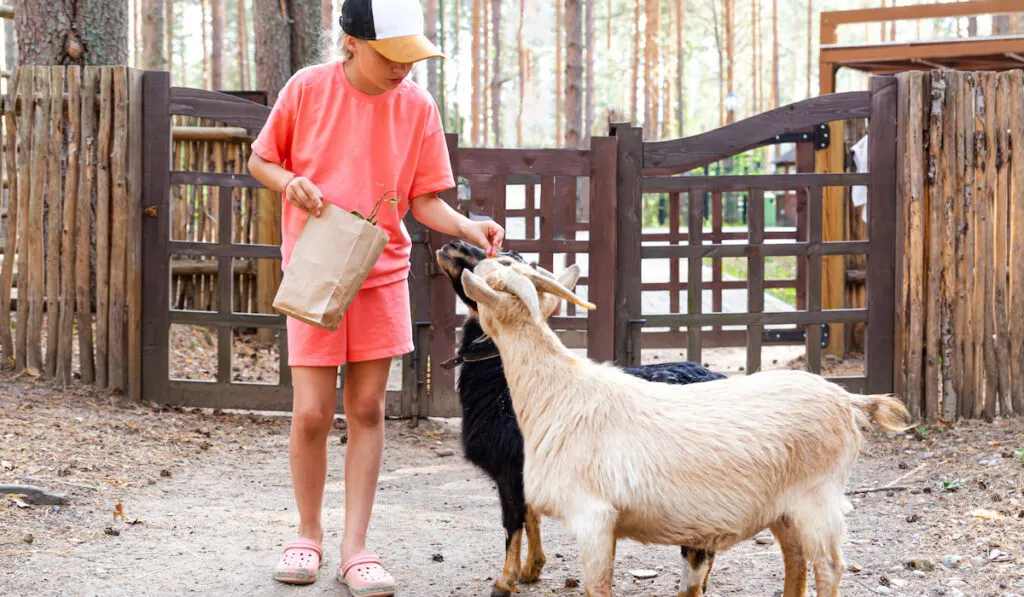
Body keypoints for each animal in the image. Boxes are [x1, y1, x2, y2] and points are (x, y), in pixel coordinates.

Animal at [436, 241, 724, 597]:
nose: (453, 245)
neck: (502, 384)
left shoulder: (507, 472)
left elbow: (512, 524)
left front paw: (503, 582)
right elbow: (531, 517)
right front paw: (531, 569)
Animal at [456, 262, 913, 597]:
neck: (558, 393)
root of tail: (849, 400)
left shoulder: (593, 517)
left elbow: (596, 586)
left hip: (817, 499)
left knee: (828, 567)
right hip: (784, 509)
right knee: (796, 562)